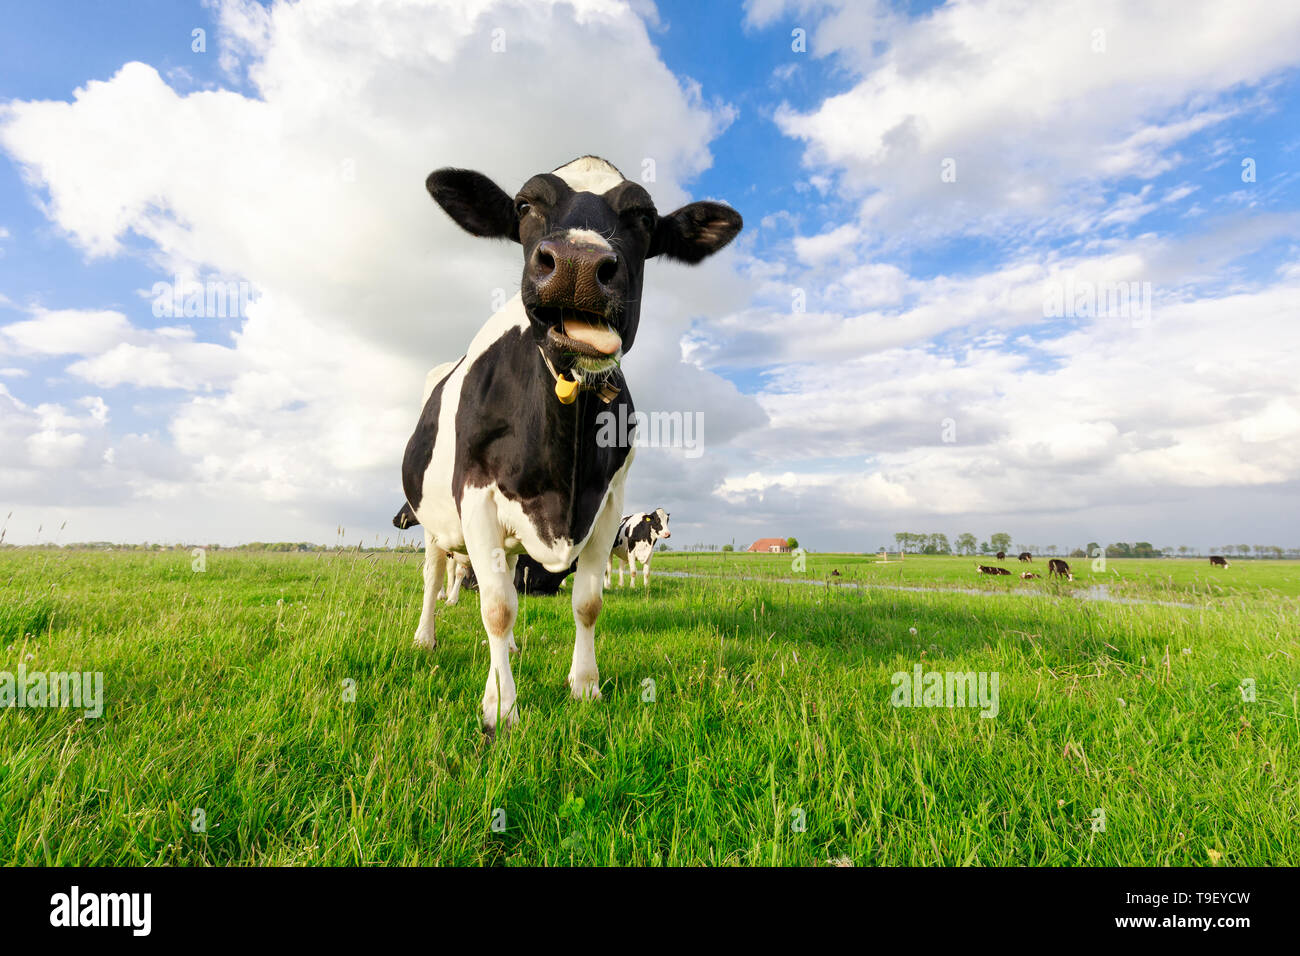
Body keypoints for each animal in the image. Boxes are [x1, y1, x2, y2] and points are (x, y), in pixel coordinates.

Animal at [395, 155, 743, 733]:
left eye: (644, 217)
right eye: (523, 206)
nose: (578, 262)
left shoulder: (609, 502)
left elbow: (586, 602)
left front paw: (585, 686)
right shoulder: (476, 495)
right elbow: (495, 607)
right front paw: (502, 707)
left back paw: (510, 651)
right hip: (433, 519)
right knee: (435, 572)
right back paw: (426, 637)